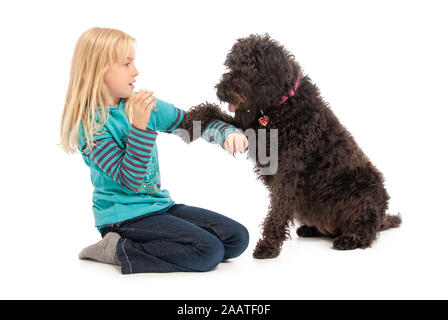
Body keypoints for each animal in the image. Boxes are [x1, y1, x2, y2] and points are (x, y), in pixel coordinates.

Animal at [179, 33, 402, 258]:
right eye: (231, 64)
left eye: (250, 66)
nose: (221, 92)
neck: (282, 106)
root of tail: (382, 217)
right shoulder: (251, 130)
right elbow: (214, 112)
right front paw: (191, 120)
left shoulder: (288, 172)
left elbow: (278, 210)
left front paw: (268, 245)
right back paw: (311, 229)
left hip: (366, 193)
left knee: (367, 231)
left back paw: (350, 239)